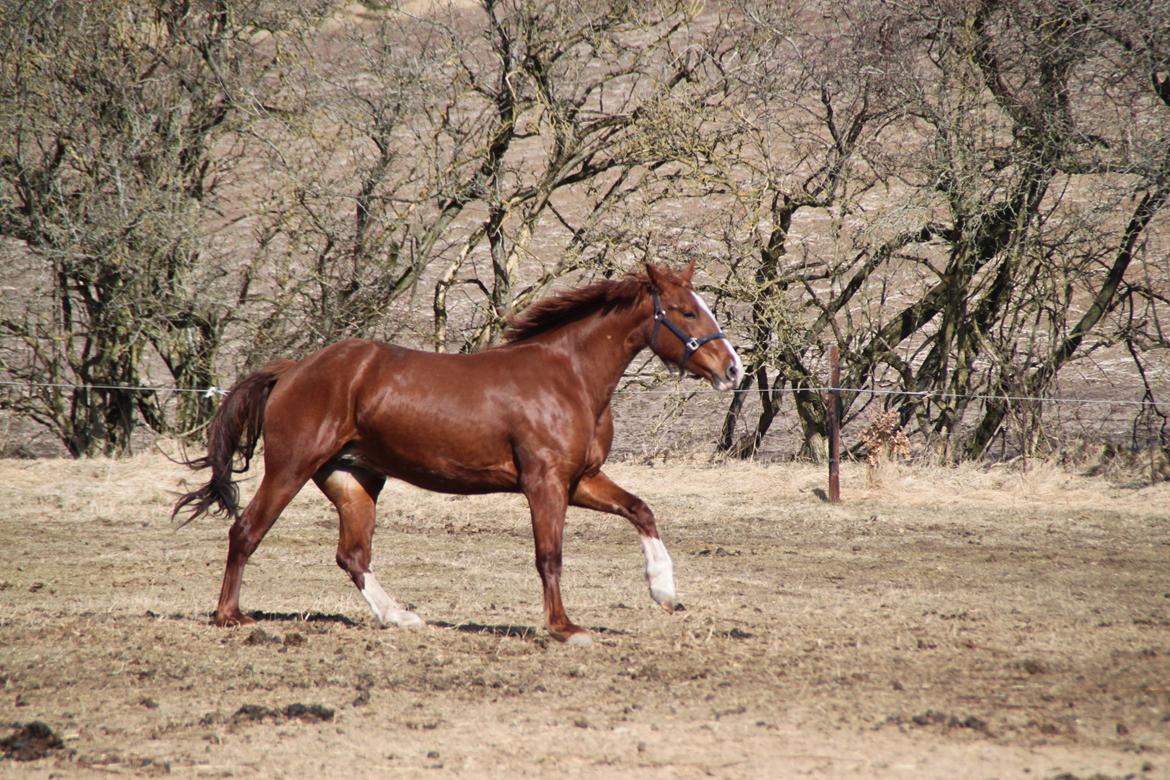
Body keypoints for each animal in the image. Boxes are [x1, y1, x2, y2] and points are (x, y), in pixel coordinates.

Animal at [173, 264, 739, 645]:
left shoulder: (581, 479)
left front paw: (664, 592)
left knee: (352, 555)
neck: (570, 377)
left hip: (353, 479)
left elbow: (641, 509)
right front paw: (564, 628)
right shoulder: (545, 483)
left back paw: (399, 616)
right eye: (687, 311)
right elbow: (549, 556)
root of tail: (294, 369)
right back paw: (230, 616)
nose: (732, 369)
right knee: (247, 532)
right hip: (291, 468)